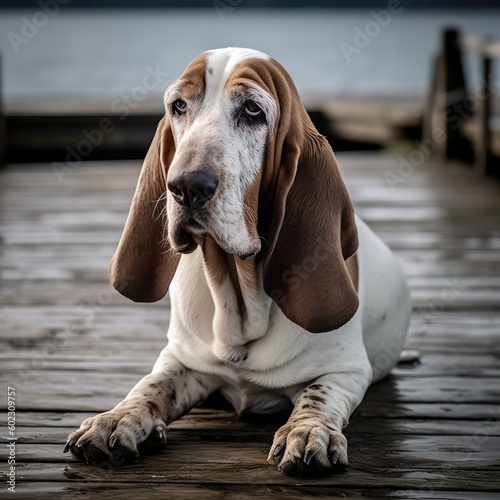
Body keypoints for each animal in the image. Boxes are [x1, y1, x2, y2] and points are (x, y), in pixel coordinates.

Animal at [65, 47, 410, 476]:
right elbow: (151, 386)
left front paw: (310, 432)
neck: (241, 303)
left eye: (252, 110)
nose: (186, 186)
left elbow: (318, 395)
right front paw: (117, 418)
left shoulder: (347, 370)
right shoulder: (181, 359)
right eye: (179, 106)